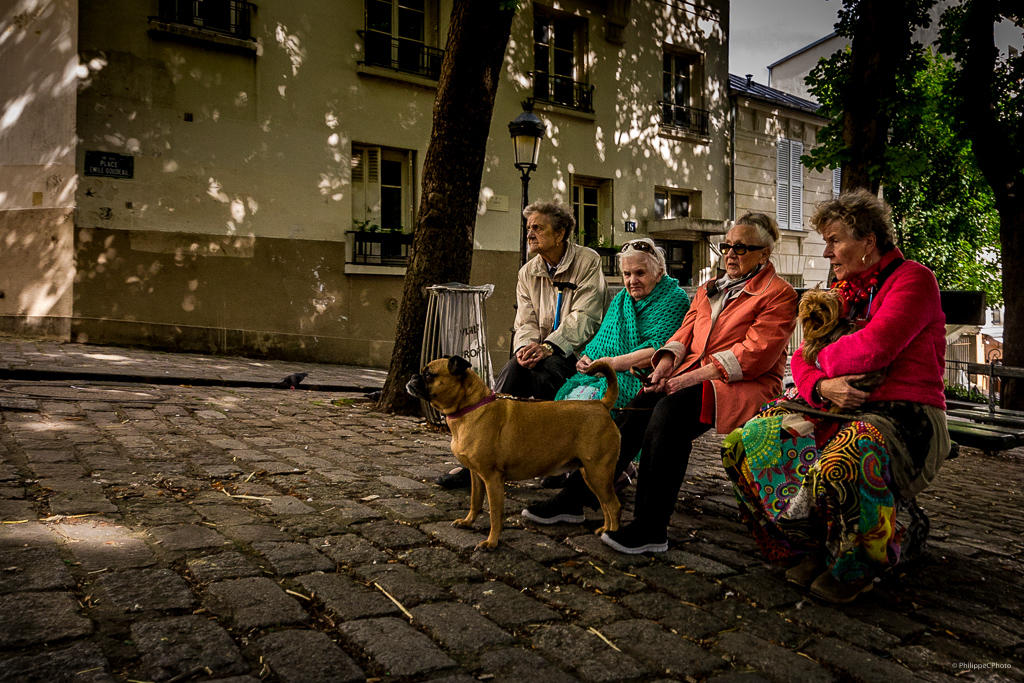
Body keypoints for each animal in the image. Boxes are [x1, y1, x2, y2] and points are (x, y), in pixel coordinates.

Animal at [405, 358, 614, 548]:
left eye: (428, 374)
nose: (413, 375)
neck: (472, 407)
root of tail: (601, 404)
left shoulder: (493, 480)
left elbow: (495, 515)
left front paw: (492, 542)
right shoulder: (476, 476)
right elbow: (475, 502)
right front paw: (469, 522)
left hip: (598, 474)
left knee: (614, 506)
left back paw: (612, 535)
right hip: (591, 475)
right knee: (605, 505)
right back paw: (605, 529)